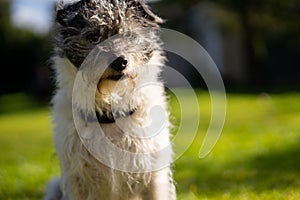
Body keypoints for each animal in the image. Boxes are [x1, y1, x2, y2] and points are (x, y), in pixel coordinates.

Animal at [44, 0, 176, 200]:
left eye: (129, 35)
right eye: (93, 37)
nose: (120, 61)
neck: (110, 112)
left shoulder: (154, 177)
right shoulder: (75, 179)